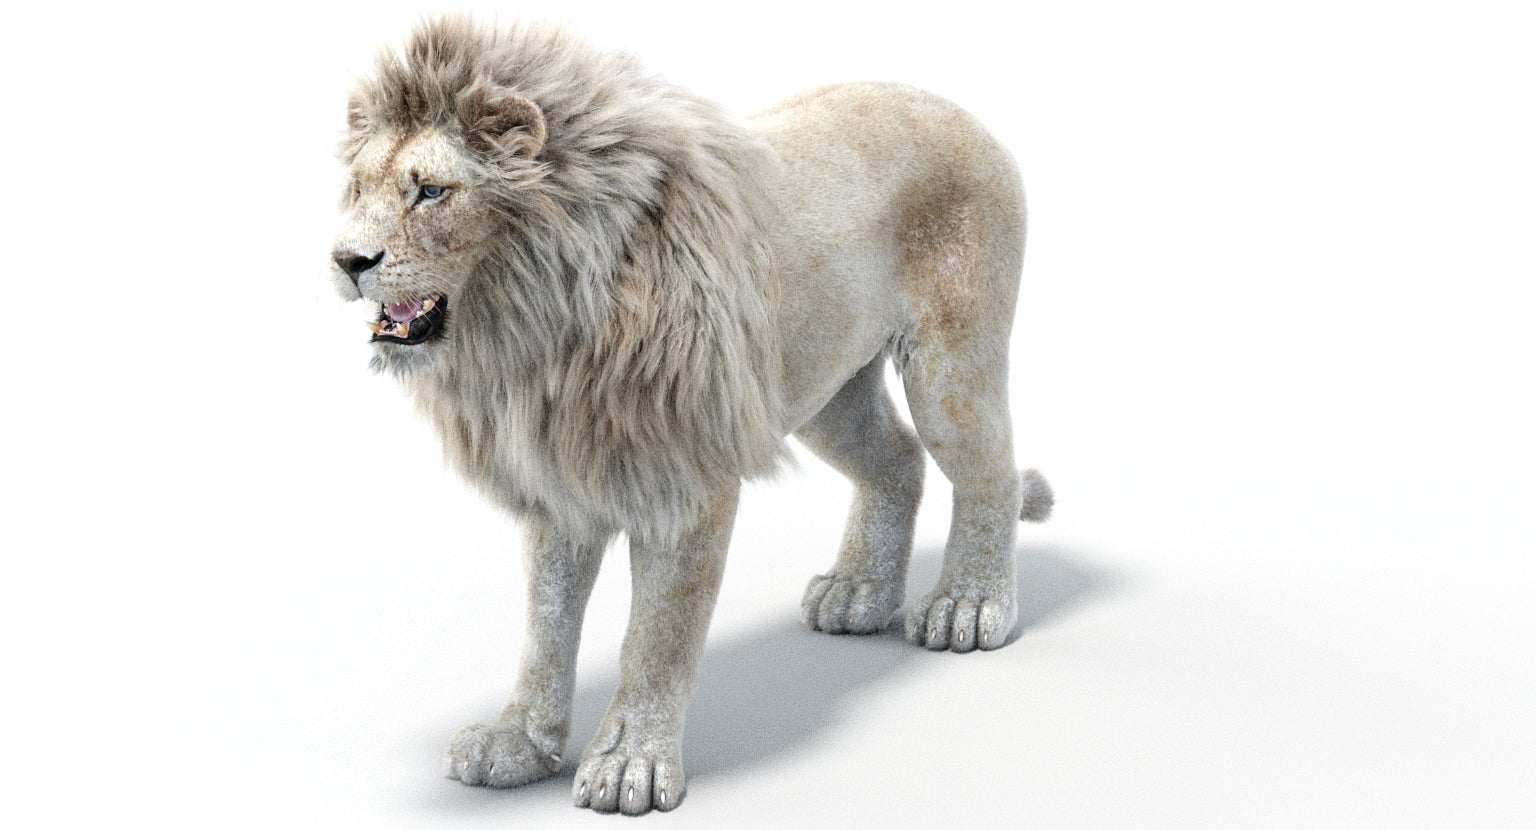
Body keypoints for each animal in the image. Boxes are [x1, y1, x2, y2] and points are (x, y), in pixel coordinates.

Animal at [331, 18, 1053, 815]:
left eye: (432, 191)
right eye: (357, 188)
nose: (345, 260)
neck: (538, 328)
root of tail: (961, 112)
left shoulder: (685, 478)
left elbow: (659, 634)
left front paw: (630, 765)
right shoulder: (560, 480)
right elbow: (546, 626)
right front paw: (517, 743)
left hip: (948, 368)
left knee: (987, 472)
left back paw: (969, 604)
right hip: (822, 387)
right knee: (897, 458)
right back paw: (859, 593)